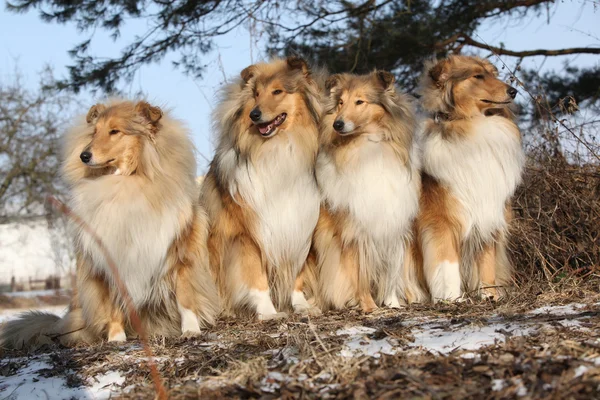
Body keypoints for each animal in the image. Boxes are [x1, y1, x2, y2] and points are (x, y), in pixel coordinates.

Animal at [0, 101, 218, 350]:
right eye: (94, 132)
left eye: (115, 131)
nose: (84, 156)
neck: (124, 183)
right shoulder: (107, 262)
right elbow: (113, 305)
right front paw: (116, 338)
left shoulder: (181, 252)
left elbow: (185, 297)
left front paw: (191, 330)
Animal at [200, 56, 324, 320]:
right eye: (256, 94)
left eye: (277, 91)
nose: (254, 115)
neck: (278, 148)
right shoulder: (246, 234)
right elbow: (255, 277)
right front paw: (269, 312)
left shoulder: (299, 225)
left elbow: (296, 273)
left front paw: (301, 305)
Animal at [308, 70, 424, 310]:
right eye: (340, 102)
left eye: (360, 101)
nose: (337, 124)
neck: (369, 147)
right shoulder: (353, 231)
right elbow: (359, 275)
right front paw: (369, 307)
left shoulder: (391, 226)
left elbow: (390, 271)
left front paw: (392, 303)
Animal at [414, 55, 528, 300]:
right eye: (477, 76)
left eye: (492, 74)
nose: (513, 91)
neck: (473, 125)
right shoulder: (442, 221)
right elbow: (447, 262)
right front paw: (451, 298)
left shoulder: (486, 213)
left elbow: (486, 261)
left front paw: (489, 294)